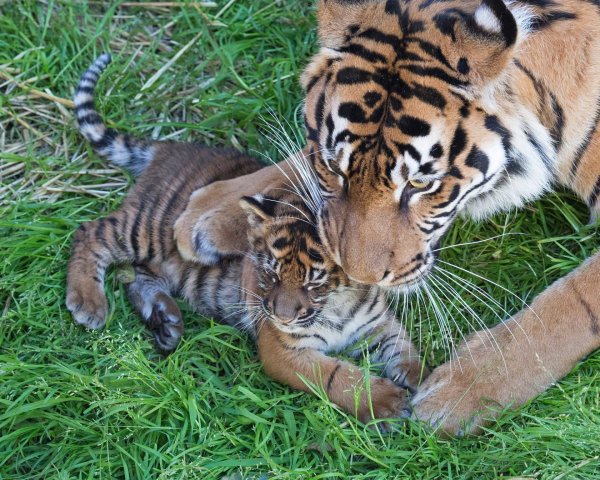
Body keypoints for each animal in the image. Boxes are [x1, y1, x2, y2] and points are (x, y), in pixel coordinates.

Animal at [176, 0, 600, 436]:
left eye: (420, 184)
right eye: (336, 168)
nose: (359, 278)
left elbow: (572, 304)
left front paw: (462, 393)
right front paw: (209, 210)